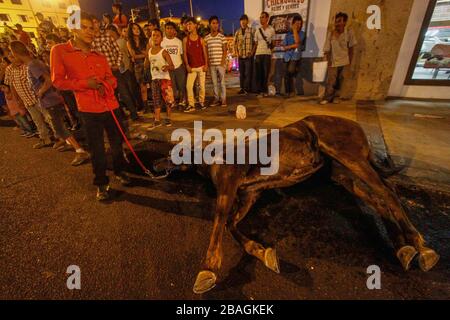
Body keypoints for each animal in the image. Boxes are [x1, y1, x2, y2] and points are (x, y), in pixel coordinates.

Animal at [153, 115, 438, 296]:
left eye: (173, 152)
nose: (153, 166)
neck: (213, 157)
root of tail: (357, 126)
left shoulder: (230, 185)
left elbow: (219, 222)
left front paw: (208, 270)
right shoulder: (250, 195)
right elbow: (232, 225)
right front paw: (261, 251)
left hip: (349, 156)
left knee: (387, 193)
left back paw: (420, 246)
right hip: (341, 176)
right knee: (380, 199)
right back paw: (403, 247)